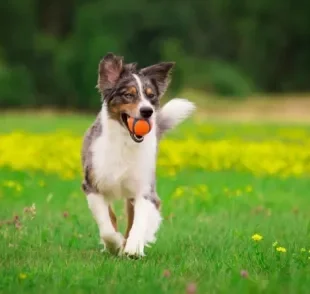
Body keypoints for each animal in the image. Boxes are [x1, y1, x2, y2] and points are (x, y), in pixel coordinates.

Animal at [81, 52, 195, 258]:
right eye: (128, 95)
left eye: (151, 97)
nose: (147, 111)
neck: (126, 142)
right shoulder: (92, 185)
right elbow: (107, 225)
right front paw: (115, 244)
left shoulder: (145, 189)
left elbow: (139, 221)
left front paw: (133, 247)